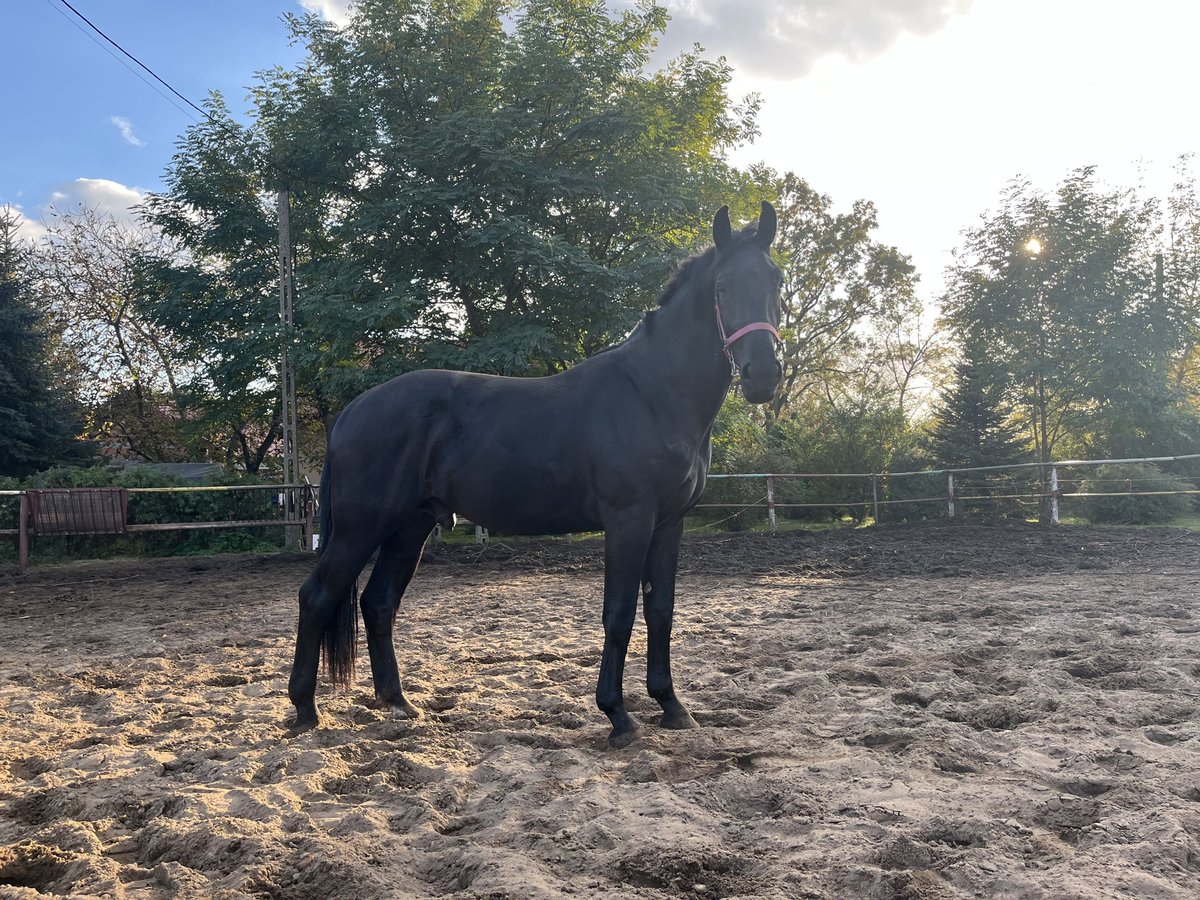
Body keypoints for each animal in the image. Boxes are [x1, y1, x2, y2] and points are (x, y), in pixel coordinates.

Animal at [291, 202, 787, 748]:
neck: (652, 393)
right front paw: (618, 715)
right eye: (722, 288)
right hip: (362, 527)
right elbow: (618, 613)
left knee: (378, 603)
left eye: (777, 281)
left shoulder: (669, 523)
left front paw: (672, 707)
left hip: (409, 526)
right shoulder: (629, 520)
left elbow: (661, 610)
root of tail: (353, 411)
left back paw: (398, 703)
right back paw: (305, 711)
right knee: (317, 596)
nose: (763, 375)